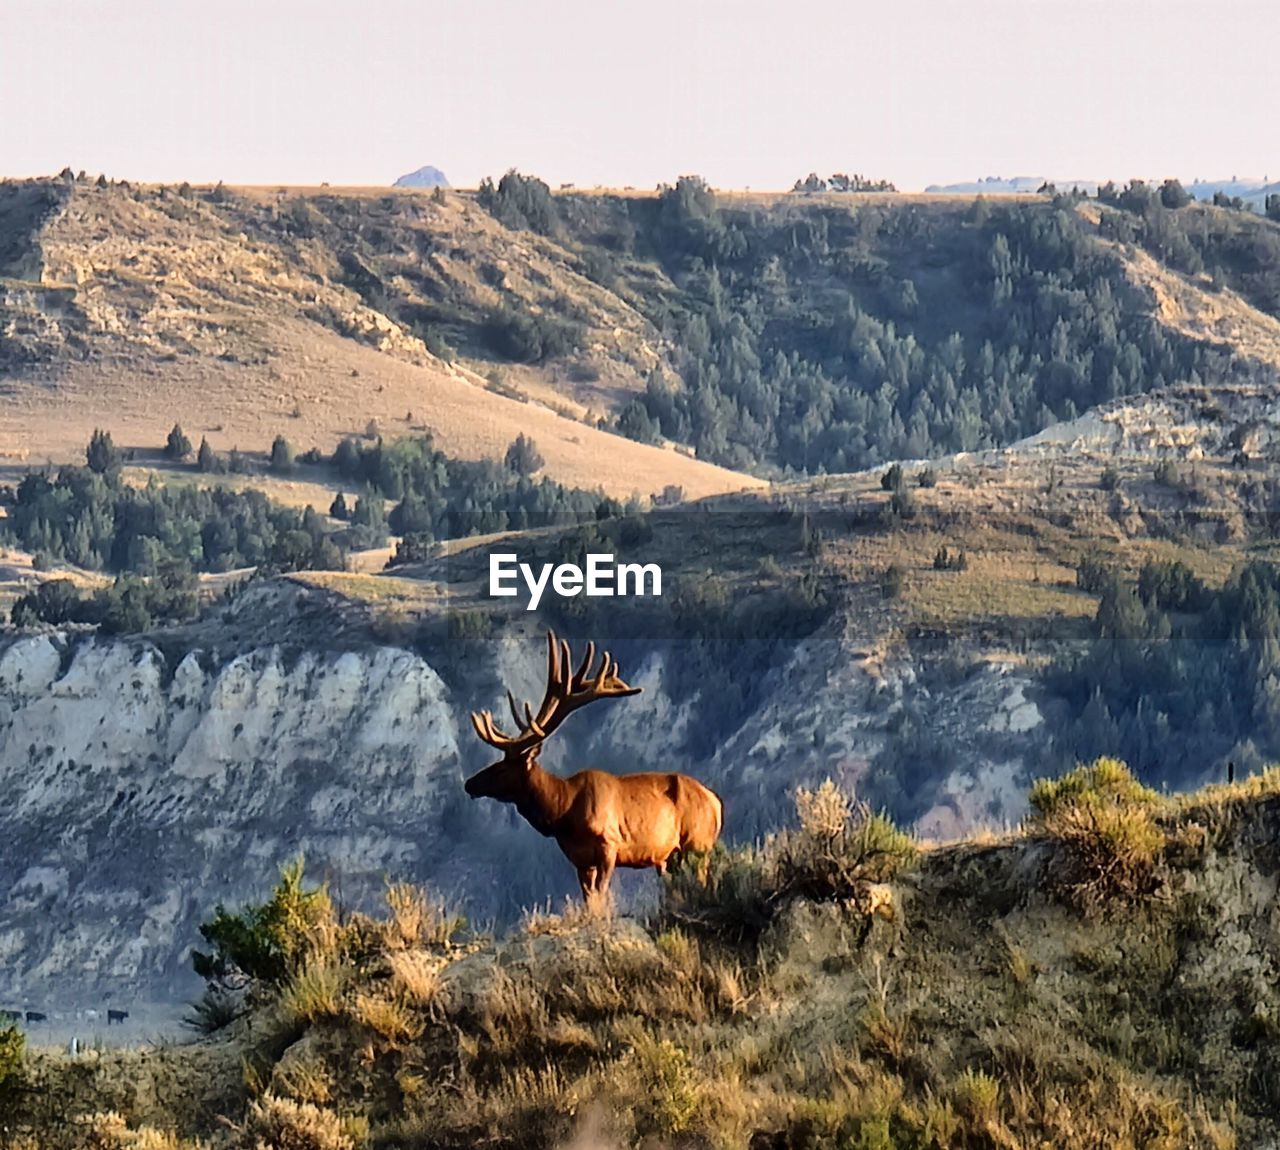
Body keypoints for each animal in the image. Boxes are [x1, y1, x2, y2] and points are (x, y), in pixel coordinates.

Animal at [463, 627, 727, 906]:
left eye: (502, 768)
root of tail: (716, 803)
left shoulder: (609, 845)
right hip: (671, 856)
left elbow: (601, 895)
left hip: (698, 844)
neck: (563, 811)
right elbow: (589, 900)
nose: (469, 783)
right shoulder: (580, 861)